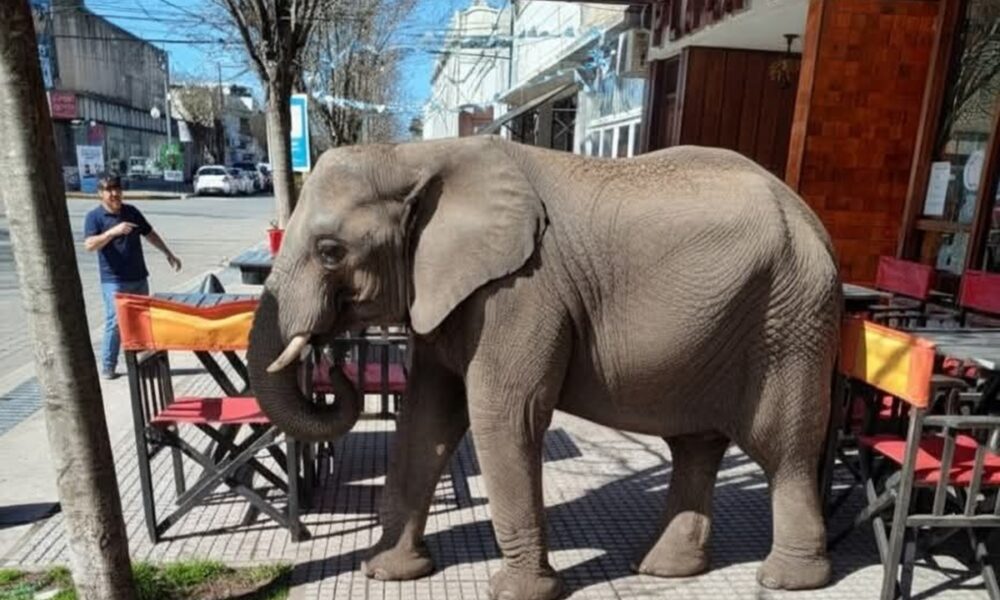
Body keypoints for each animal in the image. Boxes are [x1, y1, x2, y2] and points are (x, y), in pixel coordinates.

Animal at [246, 135, 841, 600]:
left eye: (330, 251)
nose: (332, 369)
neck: (416, 155)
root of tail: (811, 217)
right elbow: (426, 417)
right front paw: (387, 573)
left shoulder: (521, 291)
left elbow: (504, 417)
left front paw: (519, 593)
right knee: (696, 445)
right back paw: (664, 569)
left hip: (792, 318)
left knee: (782, 449)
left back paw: (787, 580)